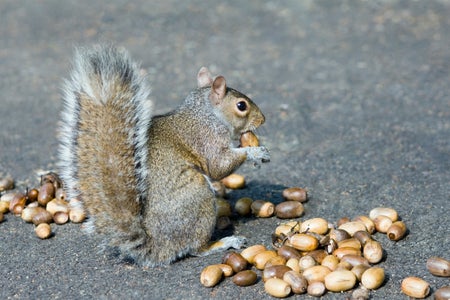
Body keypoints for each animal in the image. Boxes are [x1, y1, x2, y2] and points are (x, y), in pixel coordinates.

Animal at [59, 45, 270, 268]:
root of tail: (156, 247)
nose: (263, 119)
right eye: (241, 106)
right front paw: (255, 152)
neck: (207, 114)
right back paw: (225, 242)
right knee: (196, 249)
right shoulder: (207, 139)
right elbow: (218, 166)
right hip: (199, 197)